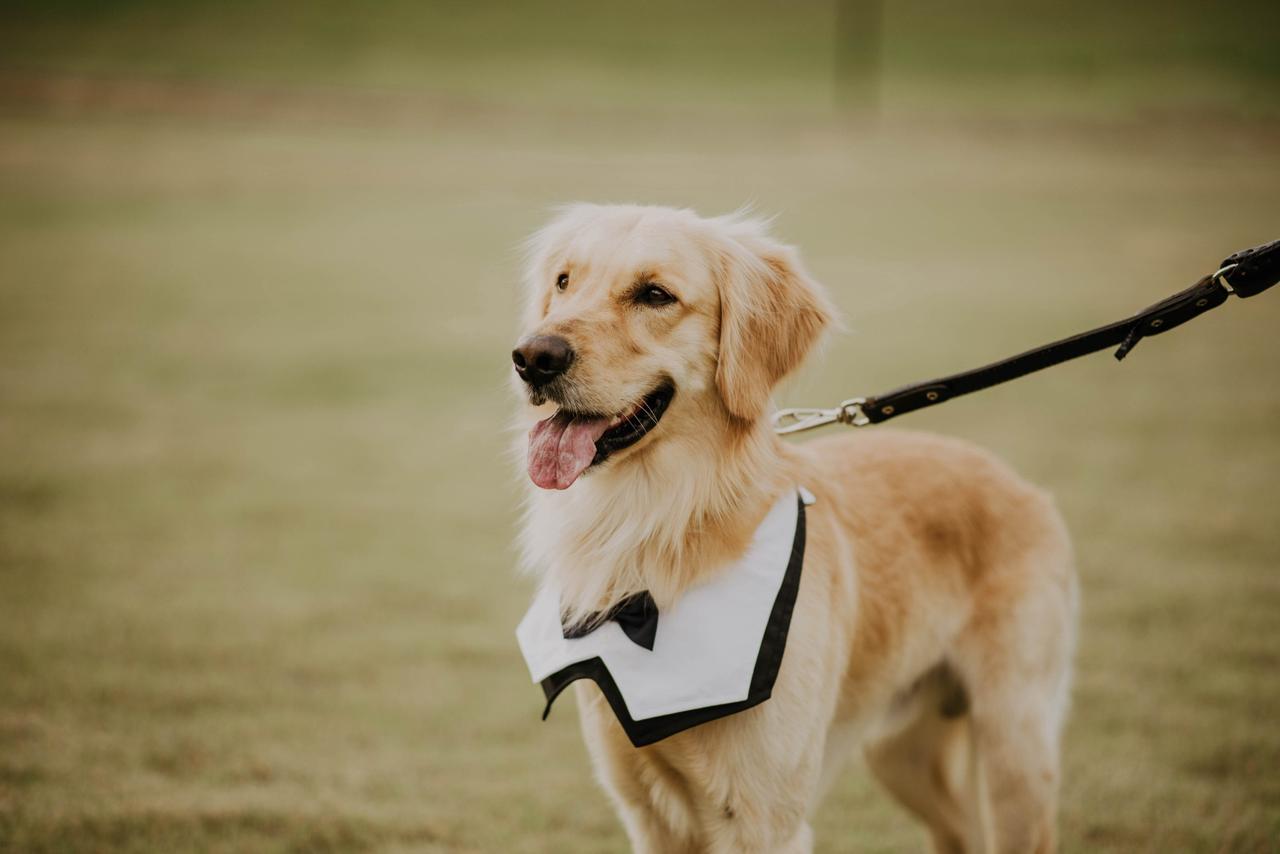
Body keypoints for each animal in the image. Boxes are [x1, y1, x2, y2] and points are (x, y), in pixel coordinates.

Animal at [514, 203, 1075, 850]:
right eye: (564, 282)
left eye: (655, 294)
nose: (532, 357)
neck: (660, 524)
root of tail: (1022, 485)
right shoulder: (646, 813)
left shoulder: (763, 819)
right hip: (904, 754)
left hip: (1015, 751)